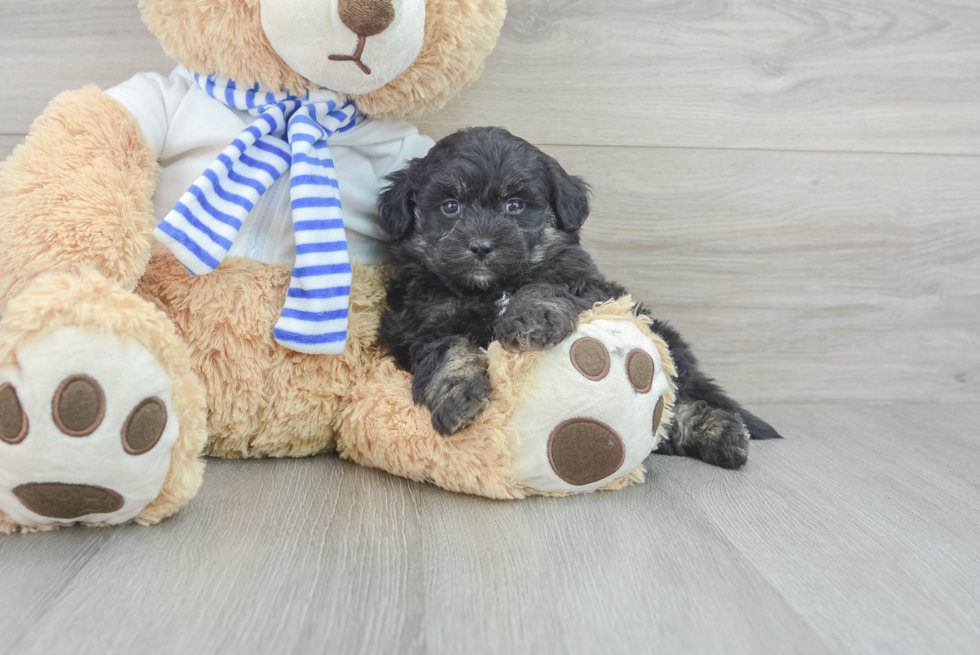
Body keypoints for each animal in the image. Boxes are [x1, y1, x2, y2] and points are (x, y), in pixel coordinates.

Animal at [376, 125, 780, 468]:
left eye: (514, 205)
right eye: (450, 207)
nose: (481, 246)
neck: (489, 288)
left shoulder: (586, 286)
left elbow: (544, 285)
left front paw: (530, 318)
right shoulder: (422, 321)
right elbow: (450, 350)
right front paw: (458, 393)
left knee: (674, 404)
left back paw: (722, 433)